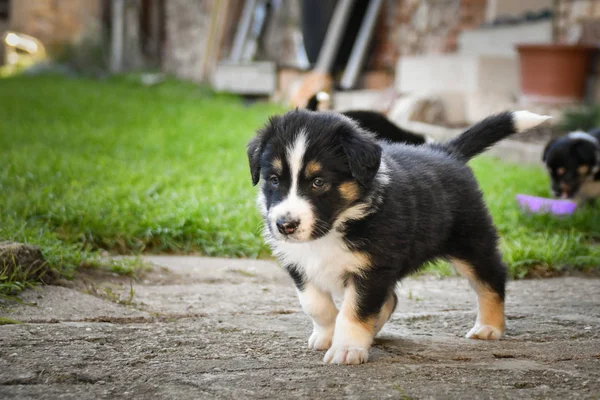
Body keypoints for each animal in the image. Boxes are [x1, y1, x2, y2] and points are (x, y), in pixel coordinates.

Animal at [246, 108, 552, 364]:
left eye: (318, 182)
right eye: (274, 180)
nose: (285, 225)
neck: (335, 227)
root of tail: (446, 151)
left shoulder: (372, 268)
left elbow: (354, 311)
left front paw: (347, 349)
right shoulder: (299, 263)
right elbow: (315, 304)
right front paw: (327, 335)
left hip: (471, 240)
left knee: (491, 278)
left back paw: (489, 327)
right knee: (390, 299)